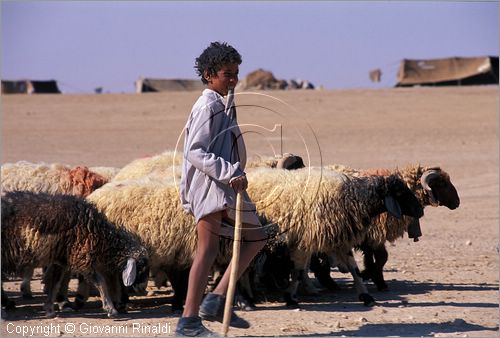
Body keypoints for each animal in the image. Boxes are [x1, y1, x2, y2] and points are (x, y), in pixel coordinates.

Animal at [0, 191, 148, 318]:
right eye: (141, 268)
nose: (142, 289)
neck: (101, 235)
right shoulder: (81, 258)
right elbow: (101, 281)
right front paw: (110, 309)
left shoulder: (61, 259)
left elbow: (55, 283)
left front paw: (49, 309)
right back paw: (6, 305)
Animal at [244, 168, 424, 308]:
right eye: (400, 192)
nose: (420, 211)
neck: (352, 198)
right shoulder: (305, 240)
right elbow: (299, 271)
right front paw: (290, 298)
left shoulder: (340, 239)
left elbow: (354, 268)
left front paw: (366, 296)